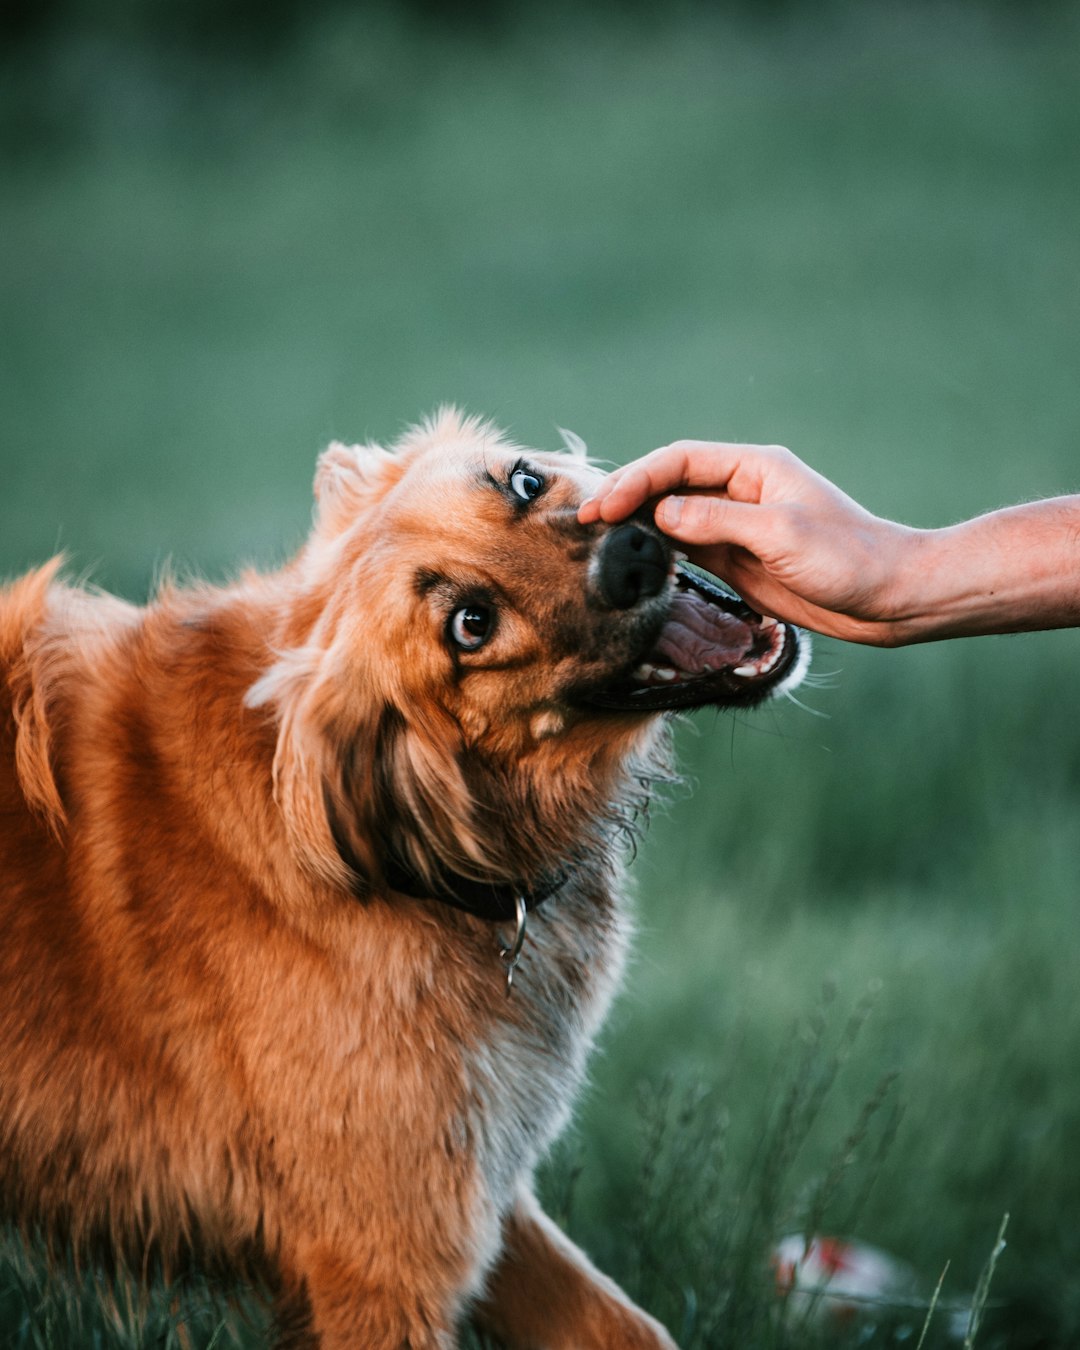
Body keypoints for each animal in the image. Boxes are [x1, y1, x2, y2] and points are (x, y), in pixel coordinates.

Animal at [0, 413, 799, 1350]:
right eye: (470, 626)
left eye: (523, 482)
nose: (632, 556)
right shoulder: (388, 1256)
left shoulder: (475, 1193)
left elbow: (627, 1330)